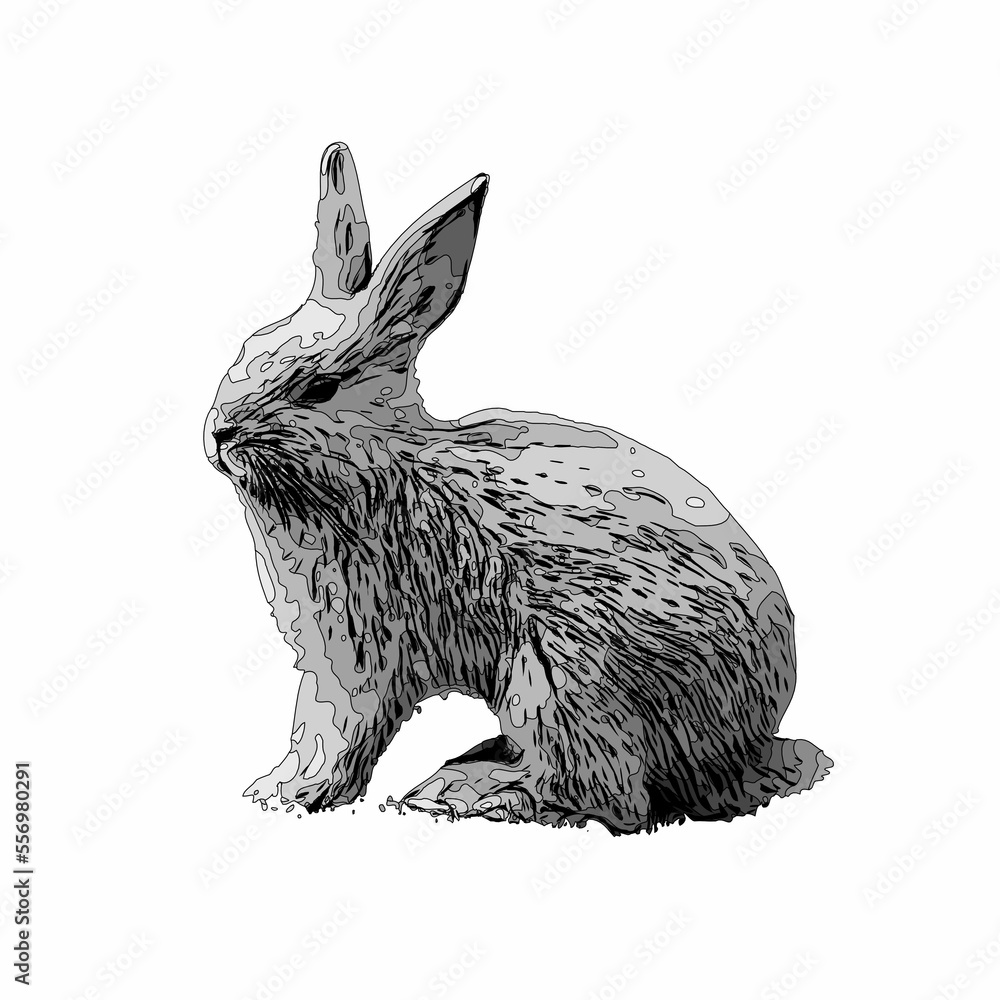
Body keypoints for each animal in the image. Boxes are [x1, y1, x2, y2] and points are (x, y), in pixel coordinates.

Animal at [205, 142, 832, 834]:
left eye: (318, 388)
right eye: (248, 346)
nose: (219, 433)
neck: (378, 467)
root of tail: (747, 748)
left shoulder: (361, 653)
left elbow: (335, 729)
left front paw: (289, 794)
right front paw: (275, 789)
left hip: (555, 682)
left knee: (612, 798)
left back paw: (468, 793)